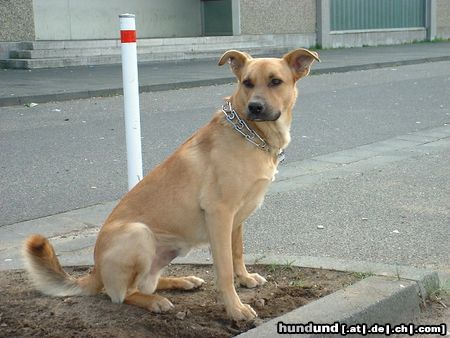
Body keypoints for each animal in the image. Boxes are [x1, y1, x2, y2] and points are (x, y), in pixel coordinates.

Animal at [23, 47, 320, 320]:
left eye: (275, 81)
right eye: (247, 83)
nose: (255, 107)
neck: (251, 134)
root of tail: (94, 271)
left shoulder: (237, 219)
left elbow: (237, 253)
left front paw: (245, 279)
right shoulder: (220, 214)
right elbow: (224, 269)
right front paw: (235, 309)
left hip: (167, 250)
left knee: (147, 282)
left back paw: (181, 281)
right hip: (138, 233)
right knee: (123, 293)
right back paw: (155, 301)